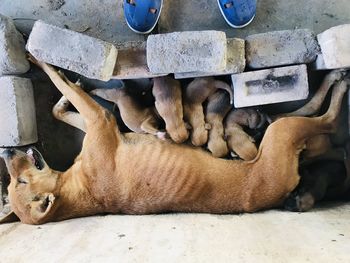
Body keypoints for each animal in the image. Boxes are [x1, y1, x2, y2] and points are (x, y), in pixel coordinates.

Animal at [0, 56, 348, 226]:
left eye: (16, 183)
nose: (8, 152)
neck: (74, 191)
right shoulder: (101, 118)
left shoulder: (97, 120)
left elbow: (59, 105)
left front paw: (50, 75)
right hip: (284, 133)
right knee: (327, 119)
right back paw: (338, 83)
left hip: (282, 129)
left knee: (305, 114)